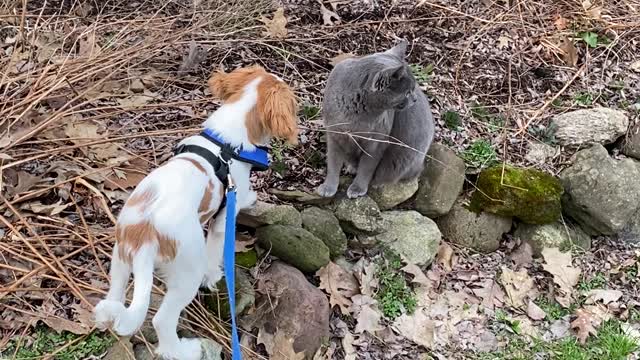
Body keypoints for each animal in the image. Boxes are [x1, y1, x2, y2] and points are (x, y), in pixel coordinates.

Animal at [316, 40, 436, 198]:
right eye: (407, 92)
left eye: (412, 90)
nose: (415, 98)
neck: (356, 115)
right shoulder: (335, 134)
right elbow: (333, 163)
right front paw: (328, 187)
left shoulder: (376, 142)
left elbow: (367, 167)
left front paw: (358, 188)